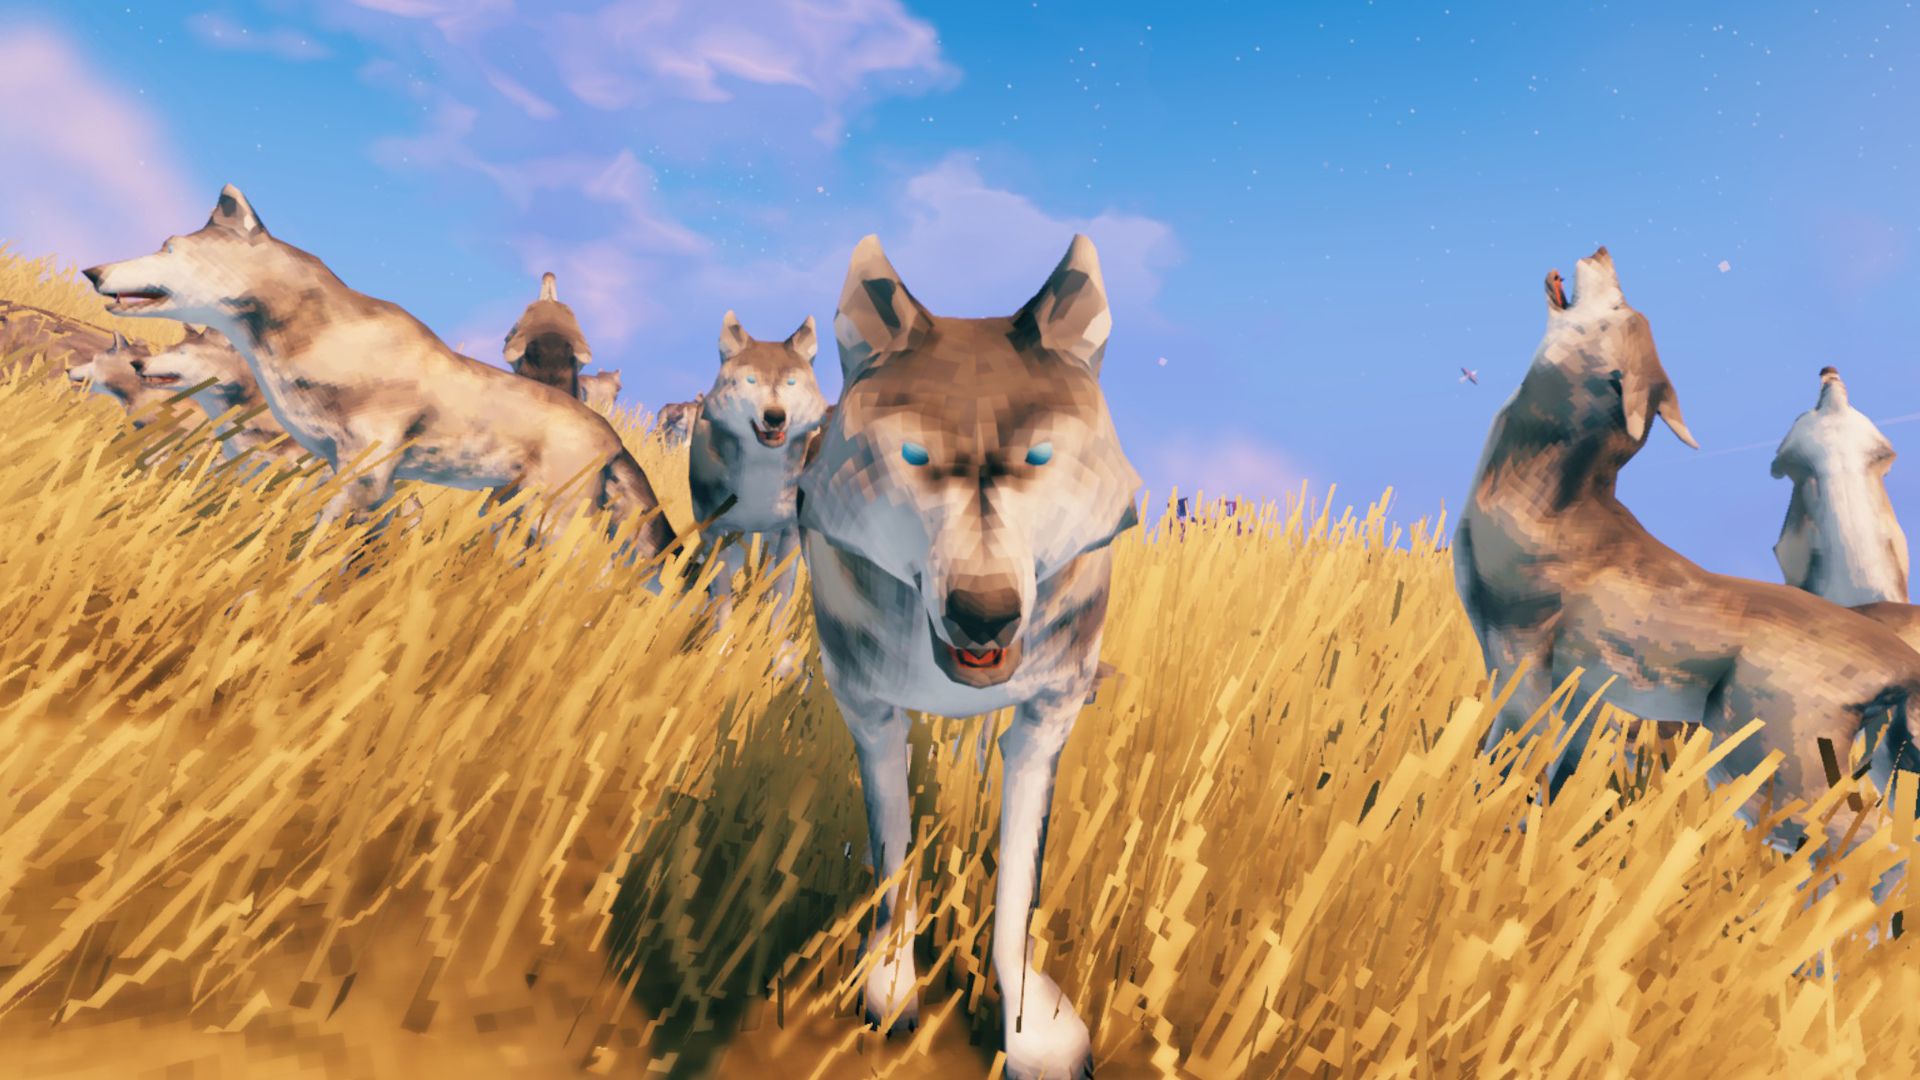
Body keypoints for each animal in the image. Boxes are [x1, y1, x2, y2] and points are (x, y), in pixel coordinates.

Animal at [688, 311, 828, 626]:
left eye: (791, 383)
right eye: (750, 381)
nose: (775, 417)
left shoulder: (789, 532)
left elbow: (780, 598)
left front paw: (772, 635)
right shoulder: (714, 531)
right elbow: (722, 602)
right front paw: (724, 639)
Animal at [798, 234, 1141, 1080]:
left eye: (1040, 457)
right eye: (914, 455)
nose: (983, 613)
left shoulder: (1046, 719)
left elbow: (1020, 879)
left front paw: (1027, 1027)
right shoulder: (870, 710)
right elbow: (894, 852)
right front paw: (889, 980)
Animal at [1453, 246, 1920, 855]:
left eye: (1620, 306)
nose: (1601, 250)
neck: (1546, 502)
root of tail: (1900, 657)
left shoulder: (1519, 655)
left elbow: (1506, 760)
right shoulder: (1583, 691)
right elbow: (1562, 780)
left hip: (1769, 767)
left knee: (1872, 850)